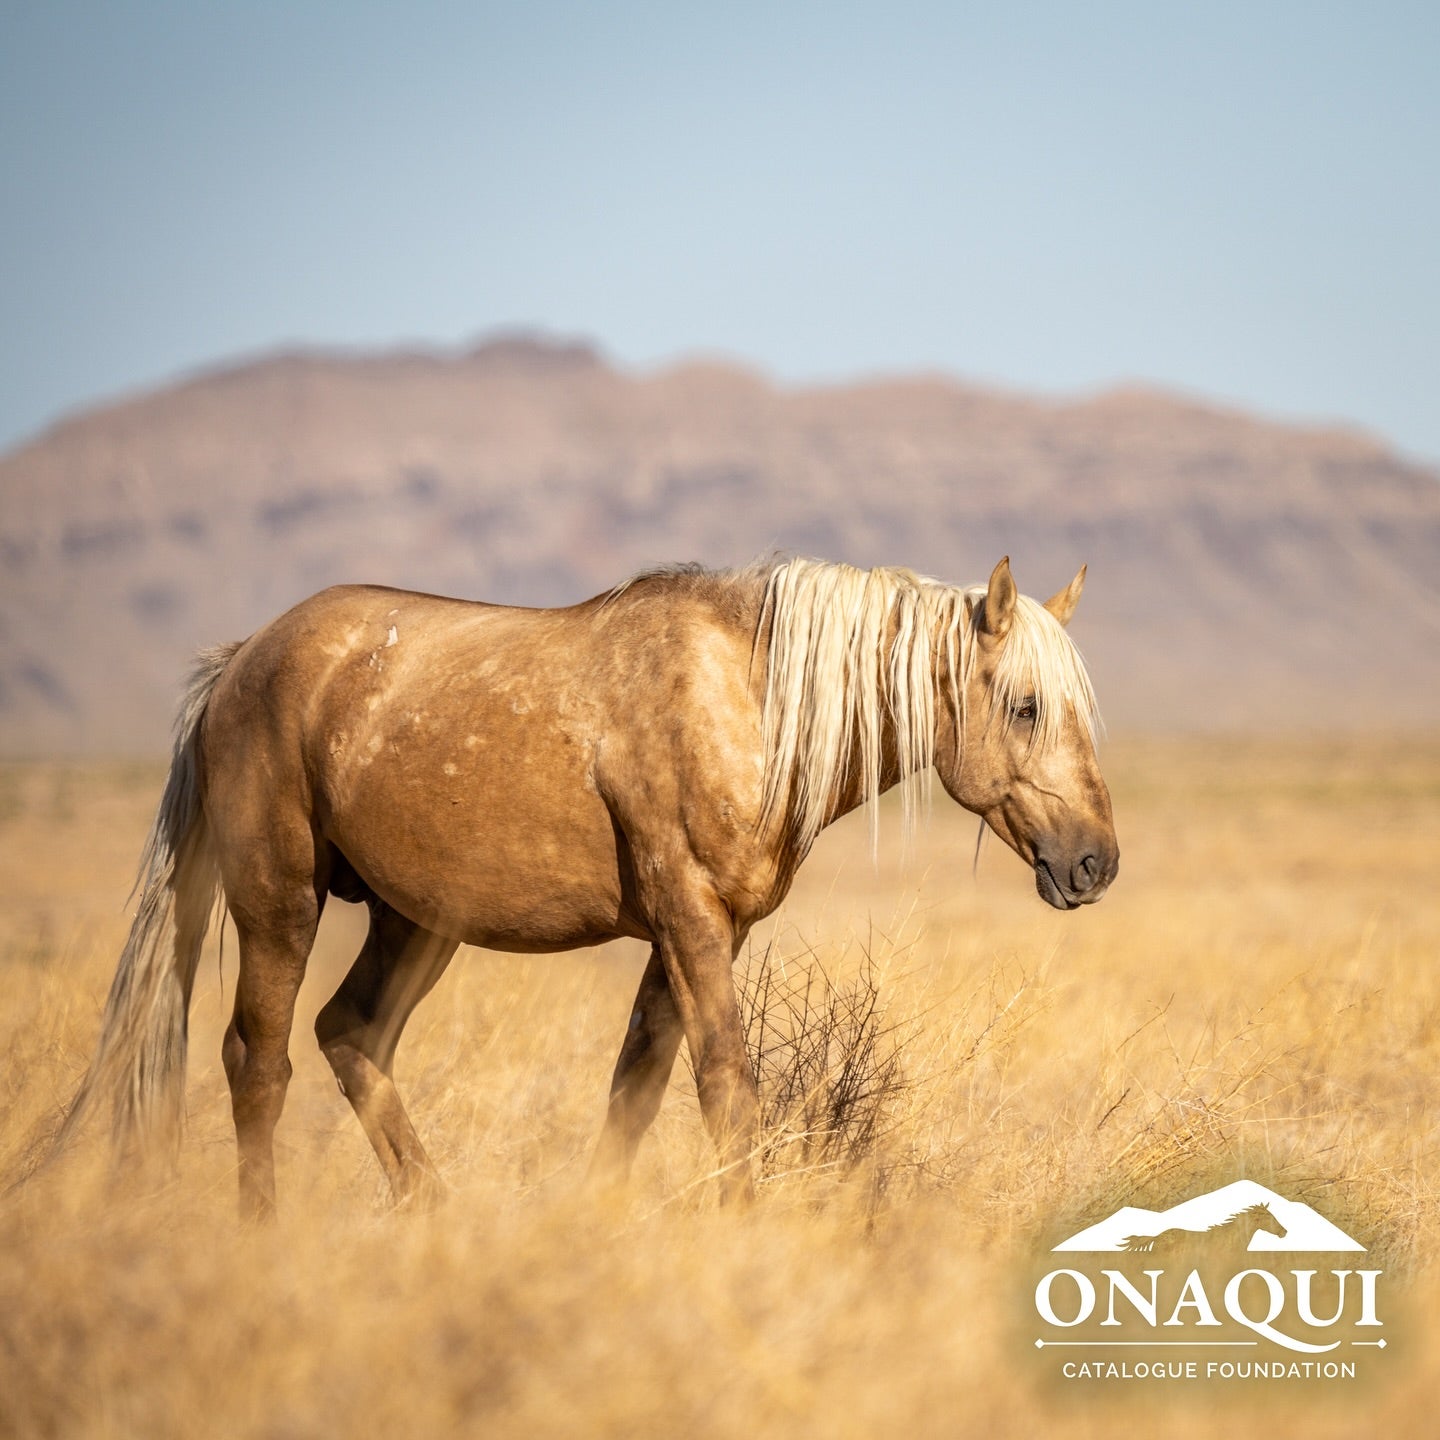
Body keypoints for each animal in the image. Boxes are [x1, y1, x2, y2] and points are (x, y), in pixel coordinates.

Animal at [64, 550, 1123, 1215]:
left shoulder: (700, 933)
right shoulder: (691, 920)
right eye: (1026, 706)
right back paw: (265, 1233)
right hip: (280, 903)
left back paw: (434, 1214)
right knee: (260, 1063)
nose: (1094, 863)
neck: (747, 700)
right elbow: (725, 1086)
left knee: (350, 1036)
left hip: (415, 922)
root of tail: (241, 660)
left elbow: (636, 1088)